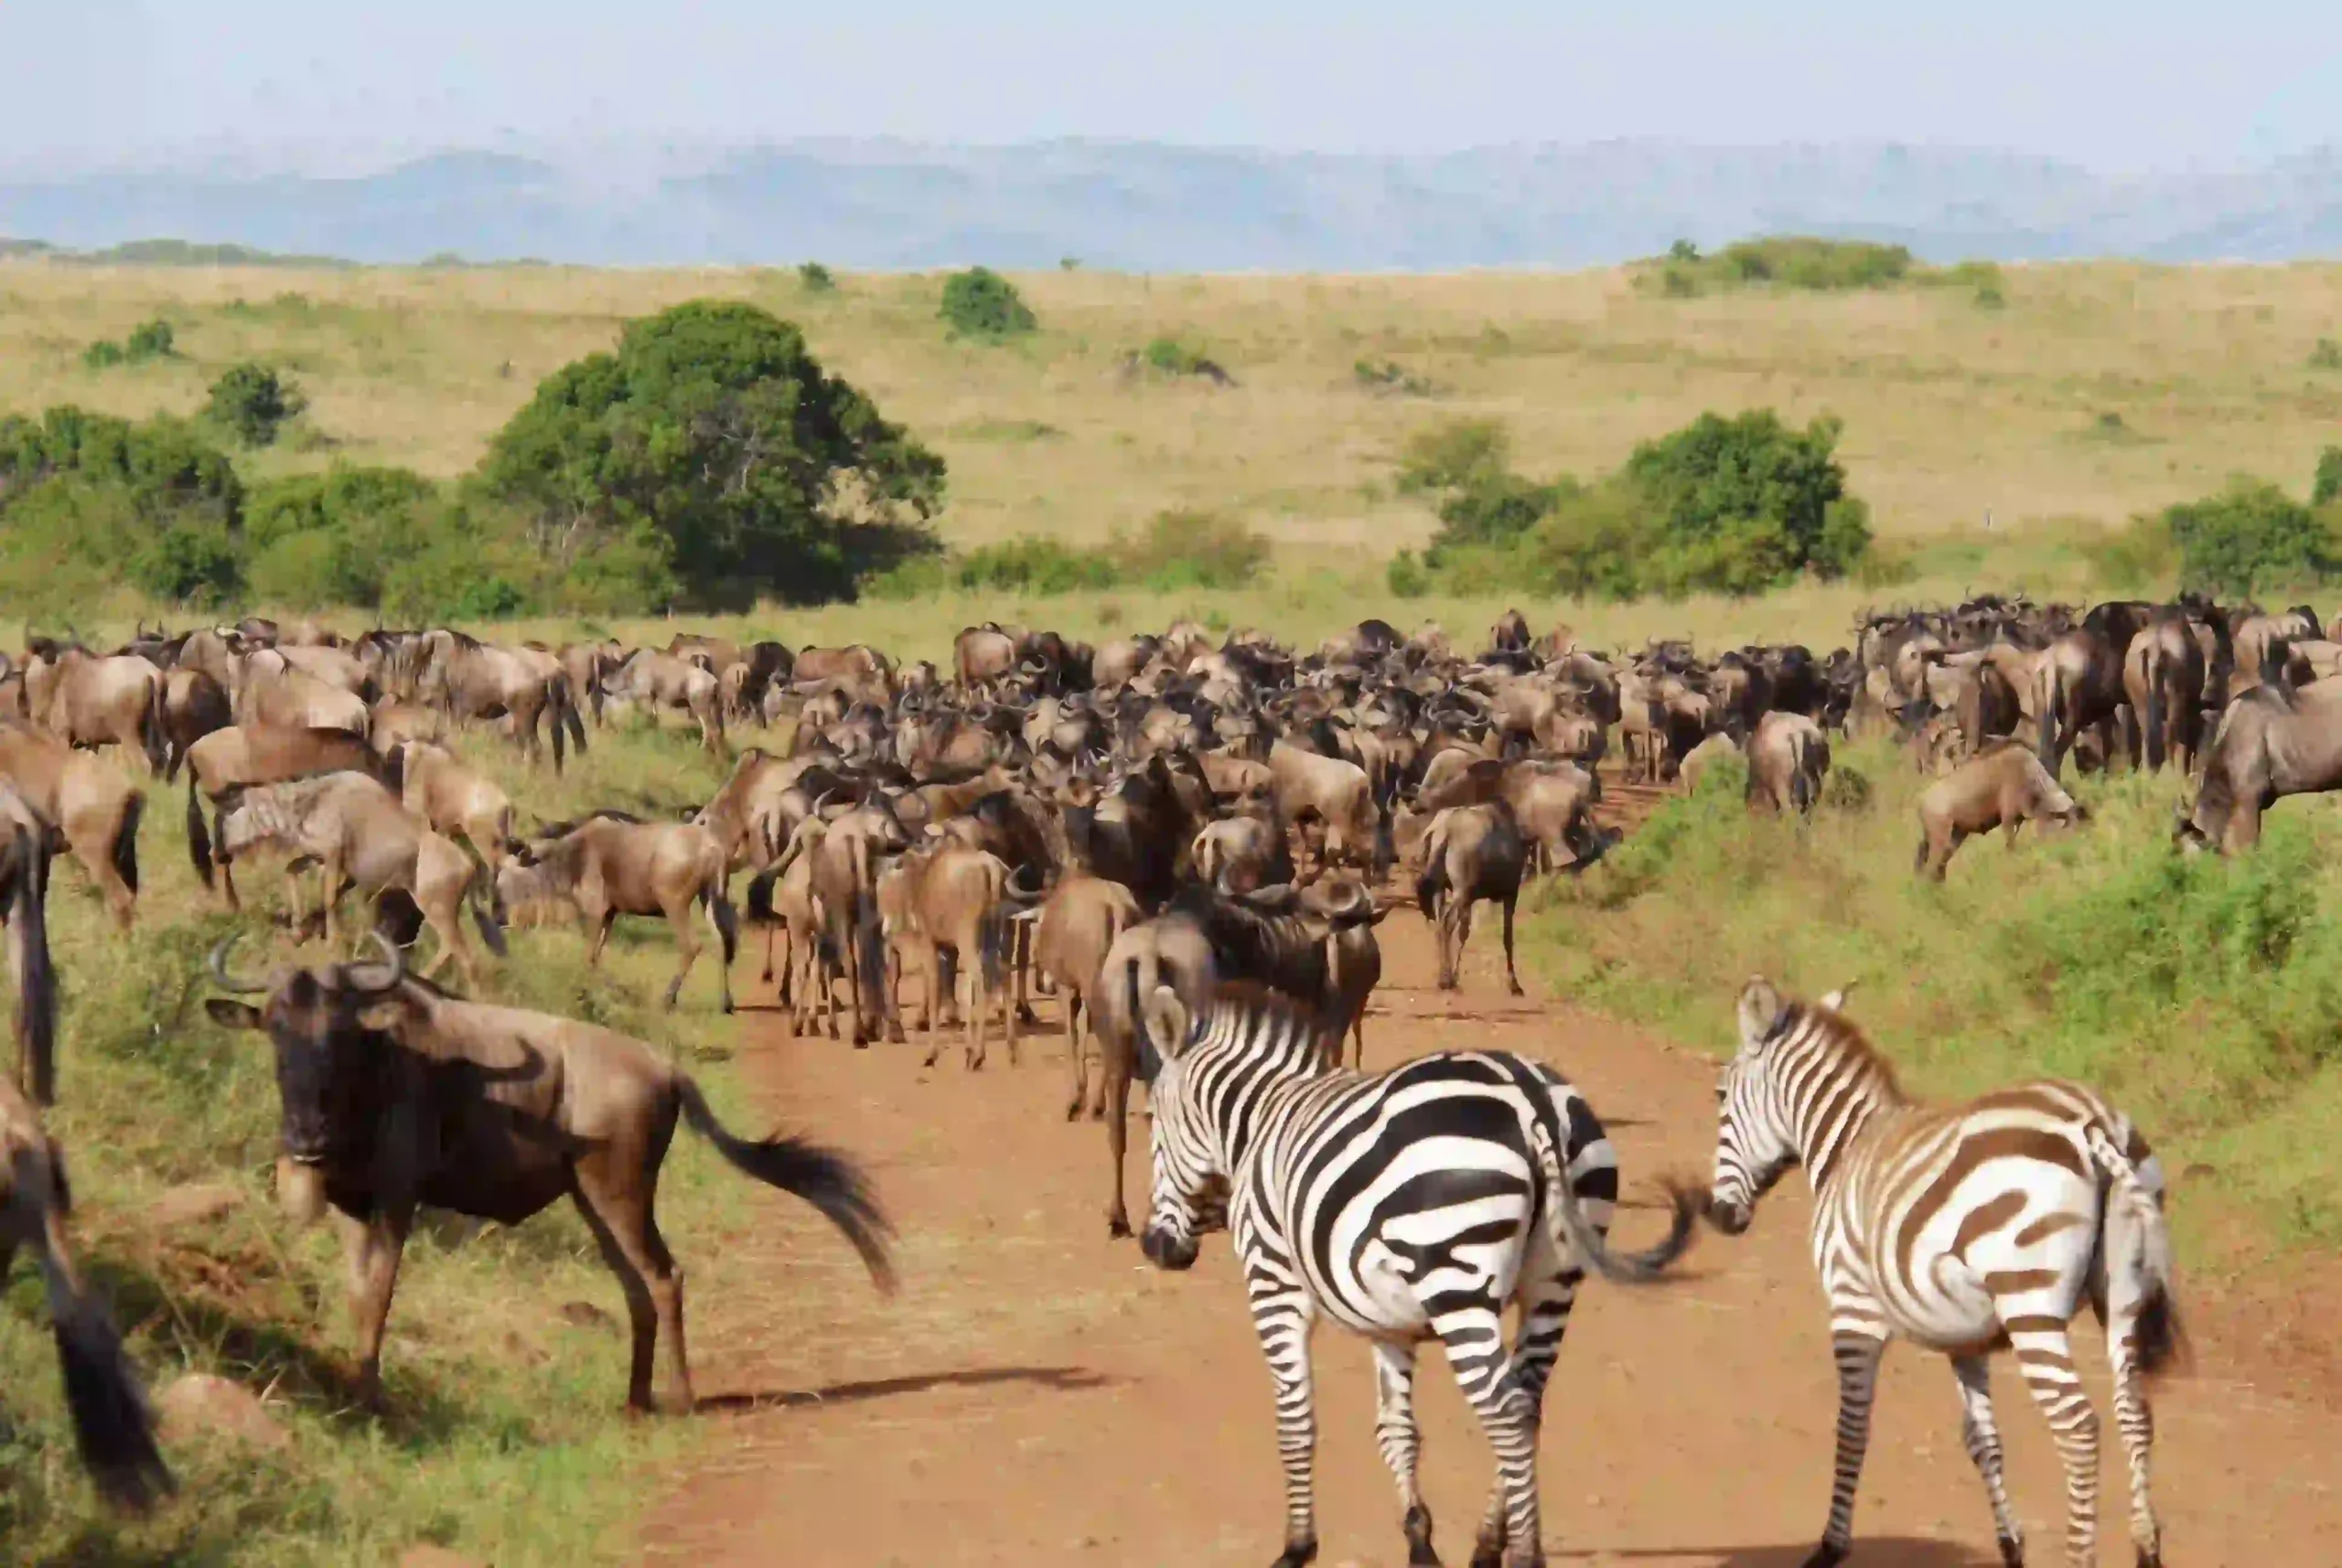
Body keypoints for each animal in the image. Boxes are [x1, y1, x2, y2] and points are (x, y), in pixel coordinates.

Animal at [1135, 980, 1698, 1568]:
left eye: (1151, 1120)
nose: (1154, 1247)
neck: (1260, 1123)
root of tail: (1531, 1098)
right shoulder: (1390, 1322)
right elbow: (1397, 1429)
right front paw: (1419, 1539)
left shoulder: (1274, 1283)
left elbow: (1296, 1419)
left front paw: (1297, 1546)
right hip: (1554, 1285)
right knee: (1528, 1404)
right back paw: (1488, 1542)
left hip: (1457, 1283)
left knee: (1505, 1412)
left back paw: (1522, 1553)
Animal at [1708, 976, 2186, 1568]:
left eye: (1720, 1098)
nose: (1718, 1216)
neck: (1847, 1148)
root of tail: (2096, 1123)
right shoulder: (1967, 1337)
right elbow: (1983, 1440)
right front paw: (2011, 1545)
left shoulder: (1852, 1309)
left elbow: (1853, 1426)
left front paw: (1830, 1546)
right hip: (2121, 1297)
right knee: (2133, 1414)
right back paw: (2147, 1547)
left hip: (2029, 1302)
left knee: (2078, 1427)